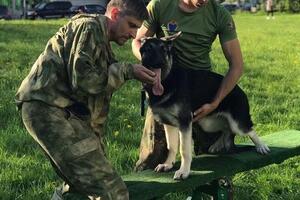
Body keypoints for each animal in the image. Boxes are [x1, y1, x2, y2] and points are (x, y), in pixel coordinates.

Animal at [140, 32, 270, 180]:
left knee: (249, 130)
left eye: (163, 50)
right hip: (207, 123)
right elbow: (171, 147)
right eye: (147, 49)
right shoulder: (169, 124)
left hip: (237, 124)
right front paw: (168, 165)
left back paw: (261, 146)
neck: (167, 81)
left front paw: (184, 171)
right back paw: (217, 145)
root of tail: (240, 90)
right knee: (226, 129)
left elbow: (184, 150)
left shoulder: (185, 123)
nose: (158, 62)